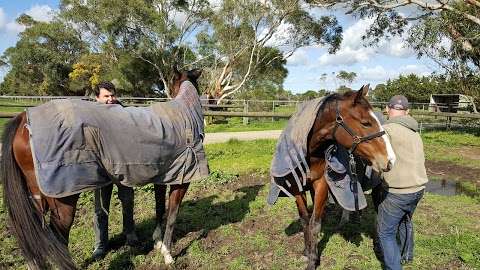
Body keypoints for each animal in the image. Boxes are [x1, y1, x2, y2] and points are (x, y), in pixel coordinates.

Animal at [0, 67, 203, 268]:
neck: (182, 115)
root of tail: (24, 119)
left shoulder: (163, 176)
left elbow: (160, 209)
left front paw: (158, 242)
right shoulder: (182, 179)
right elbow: (172, 214)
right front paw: (168, 254)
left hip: (37, 196)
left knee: (34, 235)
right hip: (62, 198)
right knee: (57, 237)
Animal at [276, 85, 396, 268]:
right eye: (366, 123)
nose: (390, 160)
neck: (311, 153)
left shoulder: (321, 185)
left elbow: (315, 224)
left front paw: (313, 261)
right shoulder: (297, 188)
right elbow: (305, 220)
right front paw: (307, 251)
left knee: (378, 213)